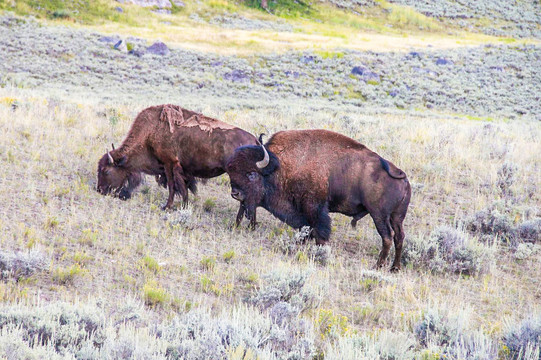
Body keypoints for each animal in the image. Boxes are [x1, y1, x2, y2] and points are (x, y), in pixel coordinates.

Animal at [97, 102, 258, 225]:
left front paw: (167, 206)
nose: (99, 190)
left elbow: (173, 186)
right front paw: (184, 205)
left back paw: (240, 223)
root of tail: (255, 141)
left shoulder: (169, 163)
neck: (151, 131)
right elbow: (184, 187)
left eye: (106, 171)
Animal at [227, 129, 410, 270]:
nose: (236, 193)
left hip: (379, 215)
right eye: (232, 173)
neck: (281, 166)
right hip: (396, 217)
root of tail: (402, 176)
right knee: (399, 237)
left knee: (387, 237)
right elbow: (306, 230)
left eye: (251, 174)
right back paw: (394, 268)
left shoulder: (314, 208)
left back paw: (377, 266)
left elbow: (320, 232)